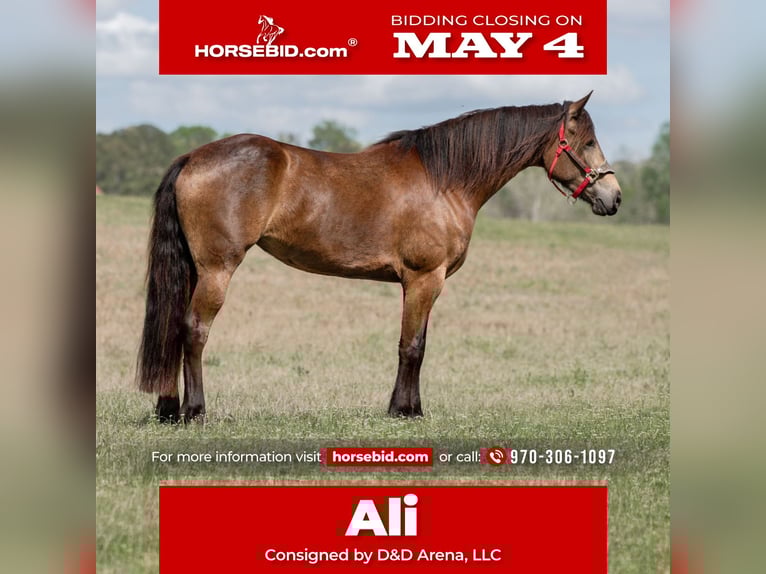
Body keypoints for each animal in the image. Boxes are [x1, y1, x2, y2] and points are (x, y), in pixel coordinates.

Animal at [136, 92, 621, 423]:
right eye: (588, 141)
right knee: (194, 330)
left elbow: (416, 343)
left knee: (174, 327)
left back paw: (169, 408)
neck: (445, 179)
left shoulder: (420, 284)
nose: (614, 197)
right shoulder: (425, 278)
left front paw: (408, 406)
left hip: (195, 269)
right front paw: (405, 411)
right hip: (217, 270)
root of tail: (192, 156)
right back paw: (195, 411)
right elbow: (412, 347)